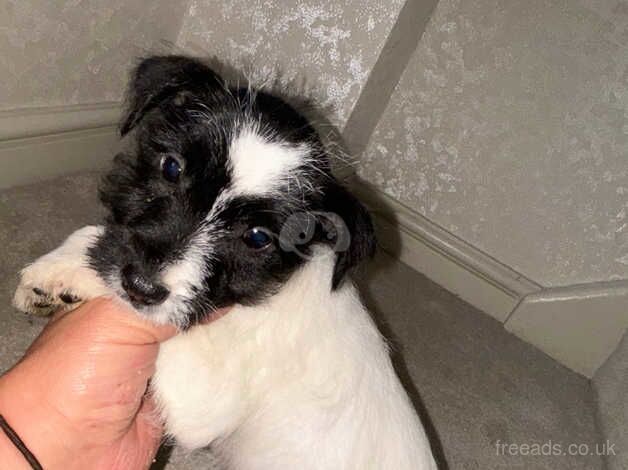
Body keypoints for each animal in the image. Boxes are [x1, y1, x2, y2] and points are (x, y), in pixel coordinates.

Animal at [13, 56, 436, 470]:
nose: (140, 286)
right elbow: (94, 237)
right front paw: (57, 271)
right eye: (171, 167)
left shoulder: (201, 400)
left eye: (258, 237)